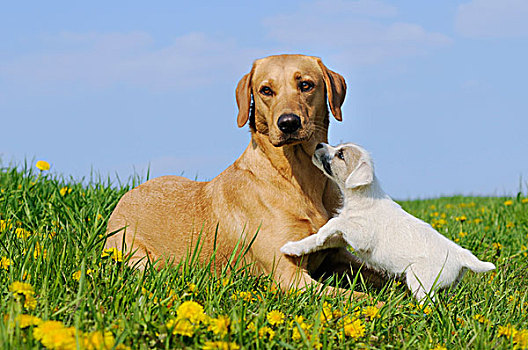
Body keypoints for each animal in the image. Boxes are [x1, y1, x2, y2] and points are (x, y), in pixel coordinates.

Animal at [105, 53, 384, 296]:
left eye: (306, 85)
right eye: (266, 90)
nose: (288, 123)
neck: (299, 177)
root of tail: (124, 198)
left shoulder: (337, 254)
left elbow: (384, 278)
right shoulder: (289, 276)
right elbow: (361, 298)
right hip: (138, 260)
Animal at [282, 142, 498, 300]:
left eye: (341, 155)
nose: (319, 144)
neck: (362, 195)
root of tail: (461, 255)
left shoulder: (360, 236)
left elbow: (335, 224)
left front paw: (320, 235)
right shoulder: (342, 238)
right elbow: (313, 240)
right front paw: (292, 248)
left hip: (420, 280)